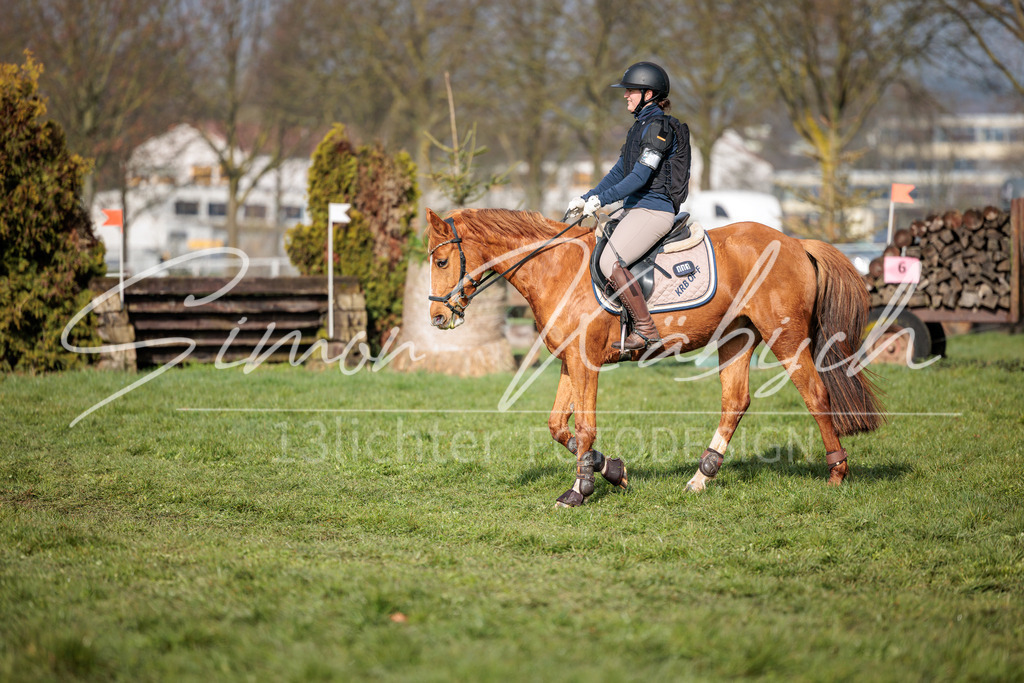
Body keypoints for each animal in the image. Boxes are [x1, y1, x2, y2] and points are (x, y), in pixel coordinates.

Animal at [425, 207, 884, 507]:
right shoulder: (569, 361)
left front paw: (578, 491)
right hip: (736, 338)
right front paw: (612, 471)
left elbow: (584, 428)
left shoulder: (586, 361)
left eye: (443, 261)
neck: (556, 267)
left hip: (786, 338)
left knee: (815, 395)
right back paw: (700, 478)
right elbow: (559, 427)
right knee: (735, 402)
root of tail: (796, 243)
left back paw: (836, 473)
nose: (437, 317)